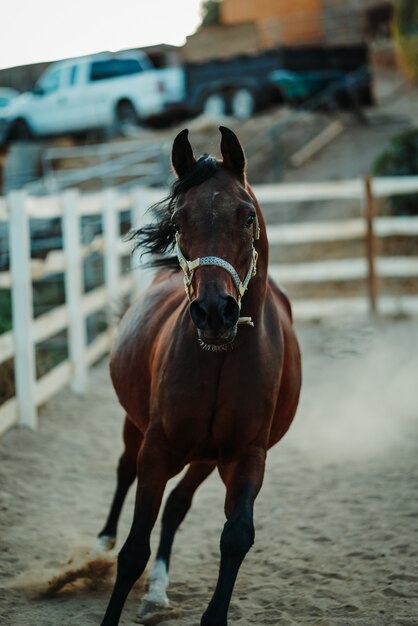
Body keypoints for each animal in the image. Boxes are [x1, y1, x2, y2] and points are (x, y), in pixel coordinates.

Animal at [97, 124, 300, 620]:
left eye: (247, 217)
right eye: (178, 222)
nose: (214, 311)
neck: (220, 360)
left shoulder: (246, 456)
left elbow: (236, 536)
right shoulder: (157, 447)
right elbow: (134, 549)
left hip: (206, 458)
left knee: (178, 504)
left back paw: (157, 591)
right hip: (136, 426)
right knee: (124, 471)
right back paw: (100, 544)